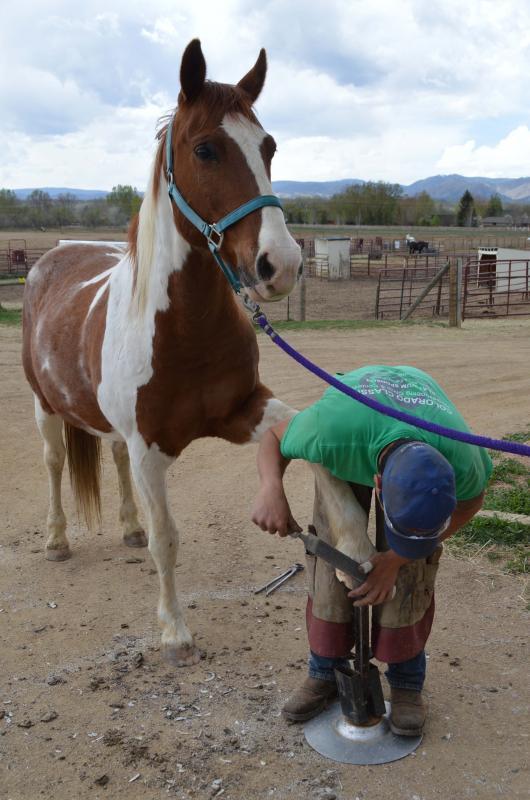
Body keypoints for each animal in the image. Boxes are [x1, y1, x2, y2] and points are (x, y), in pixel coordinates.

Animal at [22, 39, 302, 667]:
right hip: (45, 409)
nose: (281, 264)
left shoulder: (244, 408)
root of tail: (54, 256)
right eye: (206, 149)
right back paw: (56, 539)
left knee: (113, 459)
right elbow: (166, 539)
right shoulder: (150, 448)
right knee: (53, 464)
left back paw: (125, 526)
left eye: (269, 146)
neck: (184, 329)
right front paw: (175, 632)